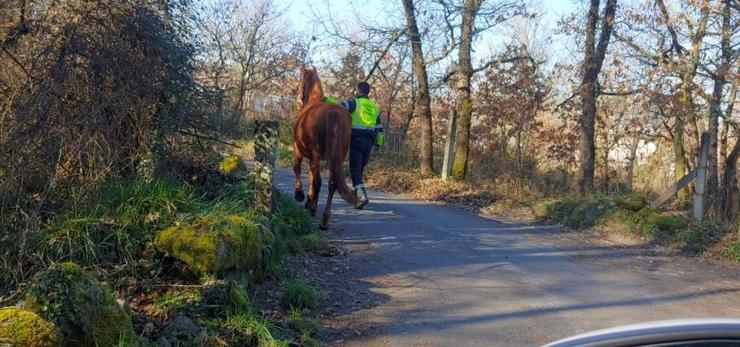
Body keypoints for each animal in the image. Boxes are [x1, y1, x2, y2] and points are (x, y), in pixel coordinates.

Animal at [294, 66, 356, 230]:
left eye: (299, 82)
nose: (298, 102)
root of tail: (334, 114)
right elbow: (310, 175)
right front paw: (308, 199)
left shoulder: (298, 149)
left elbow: (298, 169)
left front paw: (300, 195)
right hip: (338, 157)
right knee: (332, 184)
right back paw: (324, 219)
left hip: (315, 155)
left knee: (318, 181)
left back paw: (314, 210)